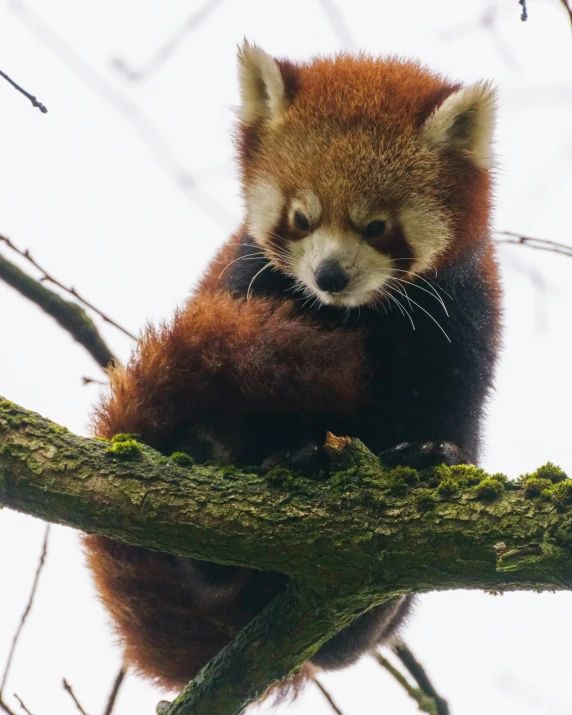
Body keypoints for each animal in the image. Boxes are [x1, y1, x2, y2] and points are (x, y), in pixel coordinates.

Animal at [84, 40, 500, 700]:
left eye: (376, 226)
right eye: (302, 218)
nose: (329, 276)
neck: (356, 315)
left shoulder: (462, 318)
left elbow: (452, 408)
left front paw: (436, 451)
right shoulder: (244, 285)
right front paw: (286, 451)